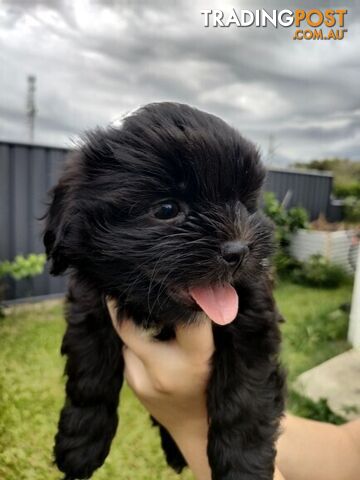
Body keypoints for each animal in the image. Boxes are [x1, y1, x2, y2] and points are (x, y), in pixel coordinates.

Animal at [43, 102, 286, 480]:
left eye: (246, 206)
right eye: (167, 209)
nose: (239, 250)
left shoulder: (254, 323)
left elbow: (244, 399)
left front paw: (243, 469)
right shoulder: (90, 309)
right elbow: (90, 378)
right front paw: (80, 445)